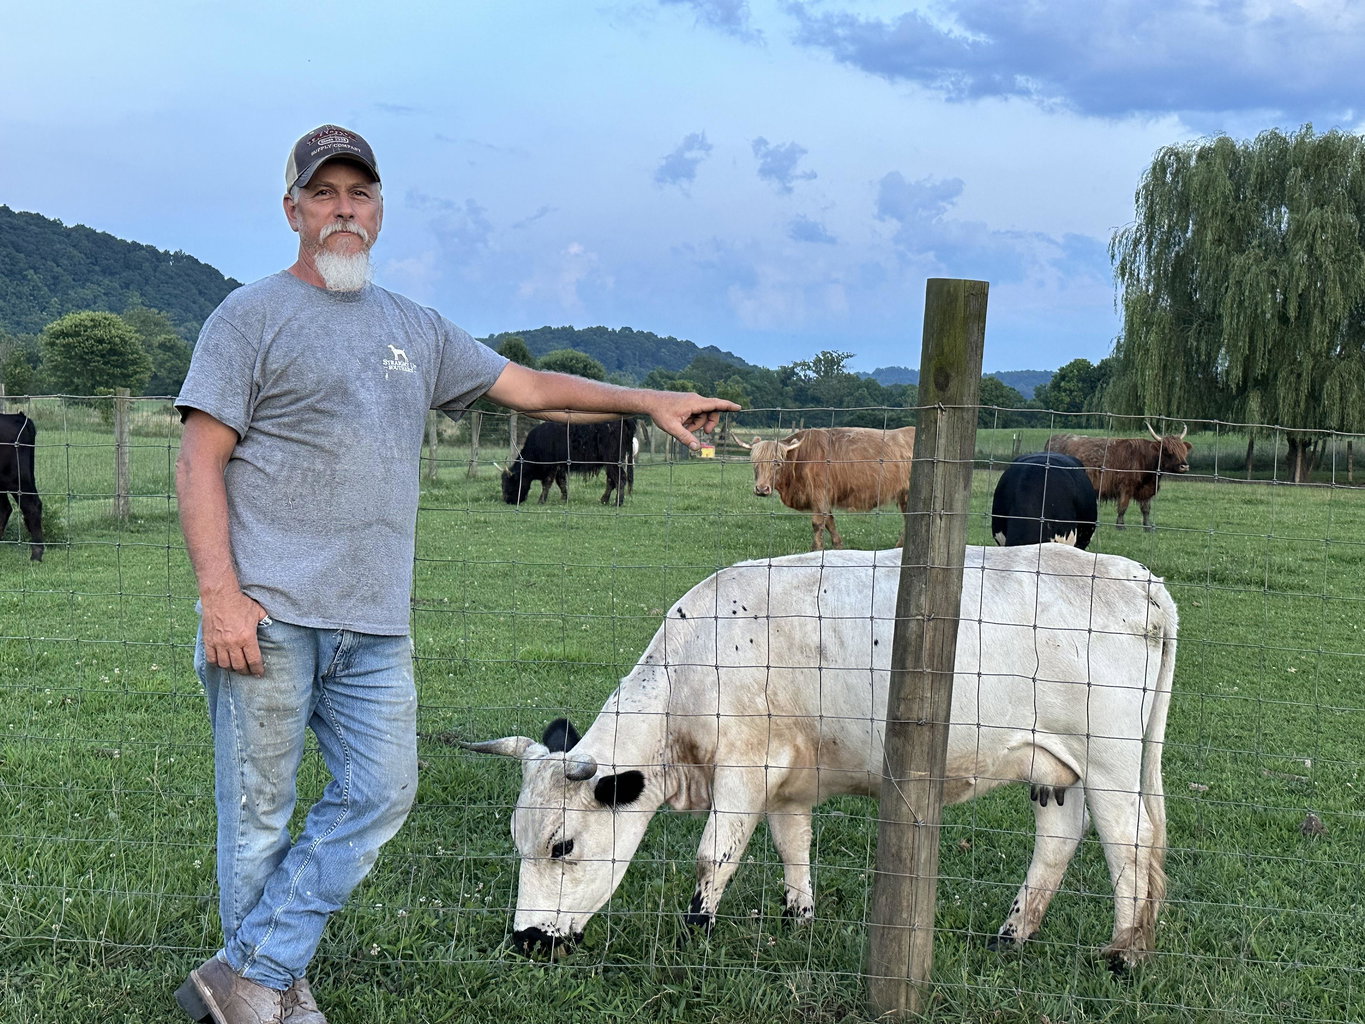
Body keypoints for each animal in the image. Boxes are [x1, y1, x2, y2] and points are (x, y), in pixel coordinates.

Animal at [467, 543, 1177, 969]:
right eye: (517, 841)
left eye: (561, 846)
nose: (525, 940)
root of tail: (1137, 579)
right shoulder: (788, 781)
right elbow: (792, 846)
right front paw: (799, 920)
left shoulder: (744, 770)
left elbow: (712, 856)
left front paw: (696, 933)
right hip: (1056, 768)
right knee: (1060, 838)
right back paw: (1012, 935)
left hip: (1111, 765)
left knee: (1131, 842)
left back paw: (1125, 954)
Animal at [501, 419, 638, 507]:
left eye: (510, 482)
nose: (507, 500)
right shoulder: (560, 468)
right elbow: (561, 482)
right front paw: (564, 498)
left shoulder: (552, 466)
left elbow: (547, 483)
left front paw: (541, 500)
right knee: (611, 480)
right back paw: (604, 500)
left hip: (612, 461)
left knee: (620, 479)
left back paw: (617, 502)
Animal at [735, 426, 916, 550]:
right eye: (754, 462)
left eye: (778, 463)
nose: (761, 489)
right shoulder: (824, 498)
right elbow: (830, 522)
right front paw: (838, 546)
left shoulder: (819, 494)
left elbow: (817, 524)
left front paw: (815, 549)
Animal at [1045, 424, 1192, 531]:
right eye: (1167, 451)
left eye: (1183, 450)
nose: (1184, 466)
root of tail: (1053, 438)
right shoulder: (1126, 487)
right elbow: (1123, 507)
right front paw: (1120, 526)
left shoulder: (1147, 489)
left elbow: (1146, 509)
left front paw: (1147, 527)